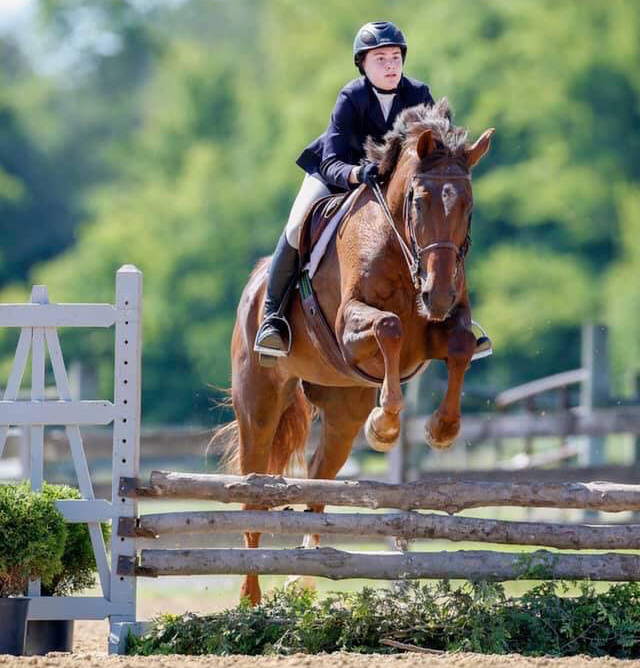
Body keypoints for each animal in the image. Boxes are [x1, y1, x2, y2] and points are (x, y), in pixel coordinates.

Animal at [225, 100, 496, 604]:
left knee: (318, 480)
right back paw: (250, 598)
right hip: (259, 403)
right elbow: (389, 327)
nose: (439, 294)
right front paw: (386, 424)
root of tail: (251, 288)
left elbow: (461, 345)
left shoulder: (436, 332)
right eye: (418, 201)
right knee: (253, 492)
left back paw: (304, 577)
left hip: (342, 407)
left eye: (468, 206)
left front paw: (441, 429)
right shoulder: (352, 326)